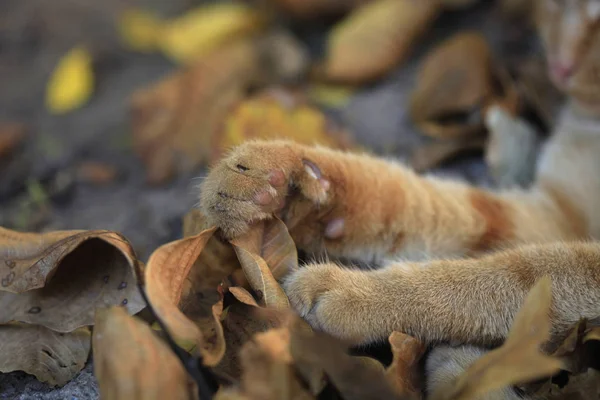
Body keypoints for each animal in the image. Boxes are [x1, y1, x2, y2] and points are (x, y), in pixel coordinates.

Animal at [199, 1, 600, 398]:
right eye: (554, 7)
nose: (561, 67)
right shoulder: (550, 212)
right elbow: (417, 201)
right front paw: (292, 185)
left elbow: (516, 274)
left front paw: (363, 293)